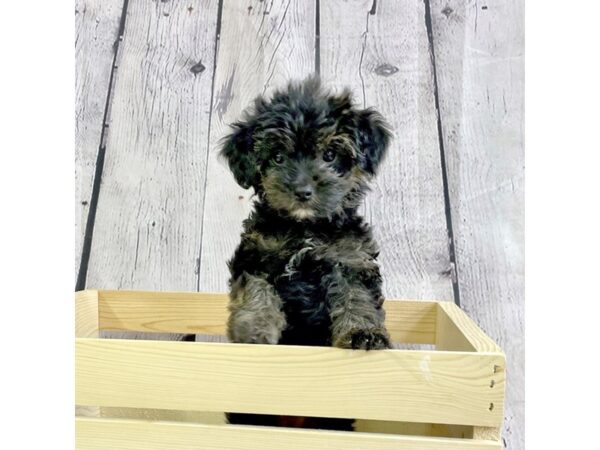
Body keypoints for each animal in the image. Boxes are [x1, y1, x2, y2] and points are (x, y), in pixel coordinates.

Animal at [223, 76, 392, 428]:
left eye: (330, 154)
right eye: (277, 158)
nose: (303, 191)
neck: (305, 229)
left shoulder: (350, 258)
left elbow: (357, 297)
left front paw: (363, 333)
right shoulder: (256, 255)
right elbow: (256, 292)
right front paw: (254, 331)